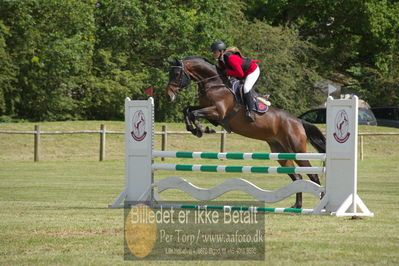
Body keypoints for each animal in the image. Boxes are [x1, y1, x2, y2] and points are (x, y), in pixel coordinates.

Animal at [166, 56, 324, 210]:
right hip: (281, 152)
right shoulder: (208, 110)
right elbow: (188, 110)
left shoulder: (217, 112)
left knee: (313, 175)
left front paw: (200, 129)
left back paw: (321, 204)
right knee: (297, 178)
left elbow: (193, 113)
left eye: (177, 74)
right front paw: (197, 129)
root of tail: (298, 121)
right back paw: (297, 205)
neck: (214, 84)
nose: (169, 96)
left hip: (297, 150)